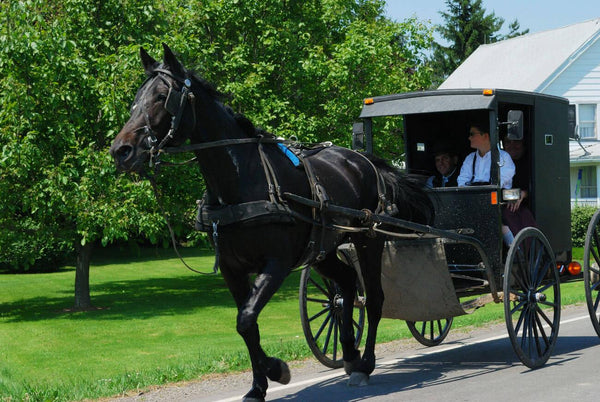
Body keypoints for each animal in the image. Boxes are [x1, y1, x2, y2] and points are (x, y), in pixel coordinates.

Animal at [110, 42, 434, 400]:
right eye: (136, 97)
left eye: (162, 95)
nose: (121, 150)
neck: (241, 180)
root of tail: (365, 161)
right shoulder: (232, 268)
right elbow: (246, 324)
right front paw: (258, 385)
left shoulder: (276, 263)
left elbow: (246, 318)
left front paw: (277, 369)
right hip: (322, 249)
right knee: (348, 284)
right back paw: (349, 353)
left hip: (368, 239)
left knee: (374, 299)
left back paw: (364, 364)